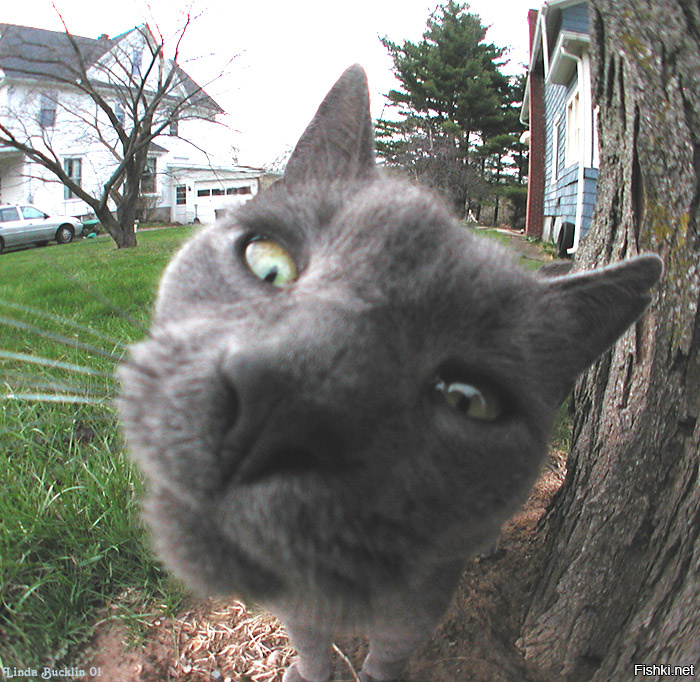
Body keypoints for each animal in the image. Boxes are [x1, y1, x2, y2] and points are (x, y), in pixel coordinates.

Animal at [117, 65, 664, 680]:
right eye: (268, 264)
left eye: (469, 399)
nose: (279, 399)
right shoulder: (298, 611)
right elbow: (310, 641)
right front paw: (306, 670)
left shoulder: (419, 607)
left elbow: (389, 653)